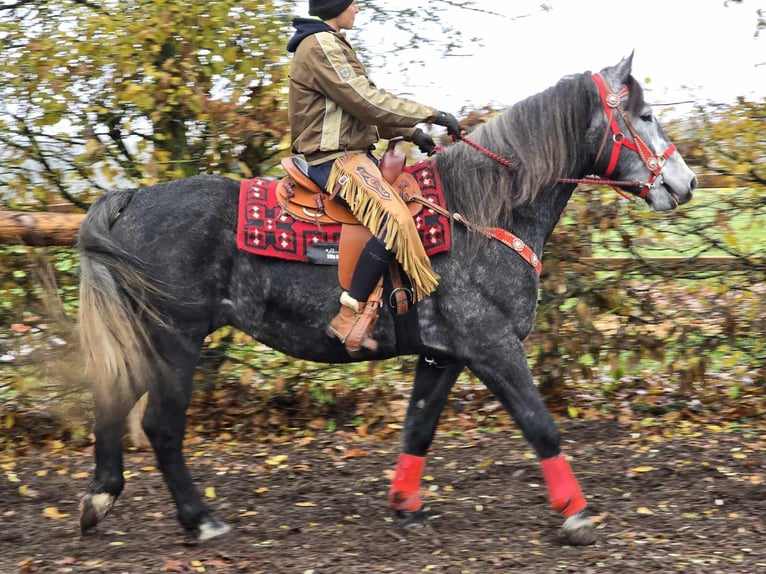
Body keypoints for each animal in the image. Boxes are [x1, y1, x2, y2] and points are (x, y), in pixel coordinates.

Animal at [76, 55, 696, 548]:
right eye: (644, 116)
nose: (685, 183)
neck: (481, 214)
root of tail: (130, 201)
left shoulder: (442, 355)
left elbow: (418, 427)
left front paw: (407, 507)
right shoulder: (491, 345)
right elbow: (540, 424)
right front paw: (576, 514)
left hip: (148, 336)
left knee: (113, 401)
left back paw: (99, 500)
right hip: (175, 338)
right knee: (160, 425)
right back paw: (199, 519)